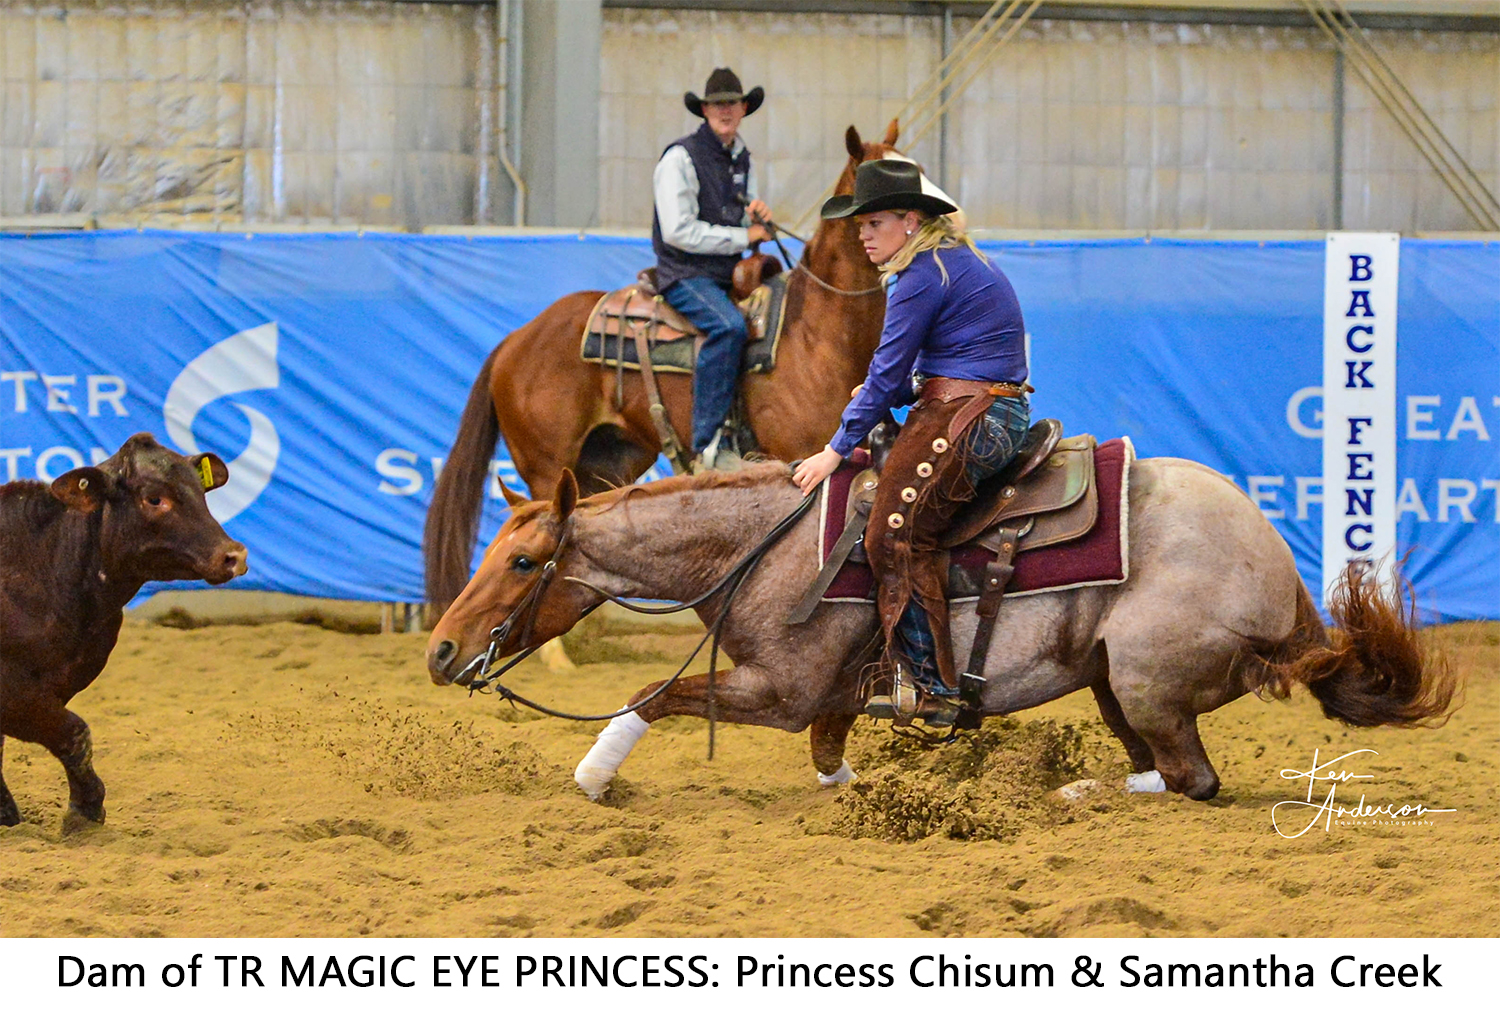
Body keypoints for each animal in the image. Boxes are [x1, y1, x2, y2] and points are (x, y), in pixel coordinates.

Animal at [0, 433, 248, 831]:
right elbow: (73, 733)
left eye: (201, 491)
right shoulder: (15, 693)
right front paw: (84, 810)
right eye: (154, 498)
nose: (234, 556)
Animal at [425, 459, 1456, 804]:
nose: (440, 650)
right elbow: (827, 750)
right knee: (1166, 770)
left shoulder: (781, 690)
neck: (767, 545)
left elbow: (655, 692)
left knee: (1193, 781)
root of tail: (1290, 592)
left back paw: (1069, 794)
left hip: (1146, 678)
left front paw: (593, 777)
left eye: (524, 562)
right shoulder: (827, 698)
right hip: (1111, 682)